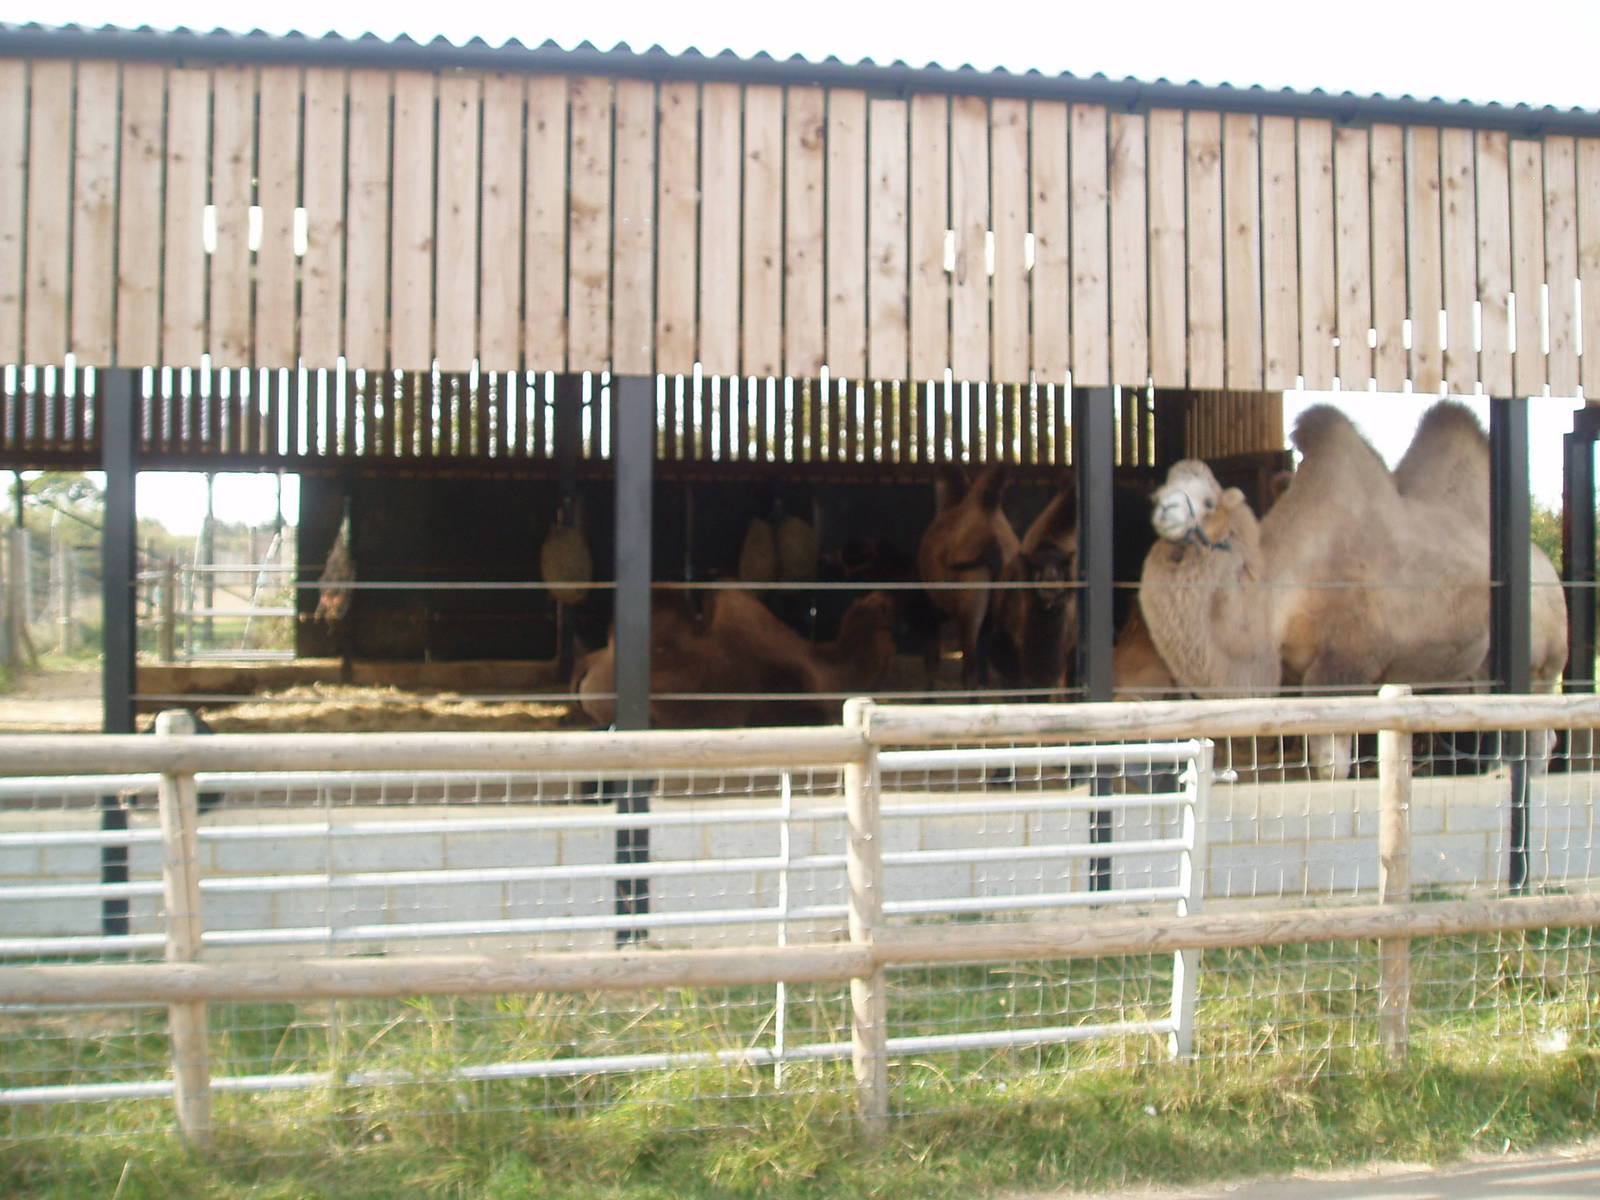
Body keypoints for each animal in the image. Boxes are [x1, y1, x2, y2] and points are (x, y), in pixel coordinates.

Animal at [1137, 401, 1566, 773]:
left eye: (1208, 501)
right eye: (1159, 493)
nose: (1165, 512)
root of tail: (1547, 566)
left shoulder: (1343, 665)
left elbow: (1331, 766)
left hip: (1543, 663)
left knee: (1540, 736)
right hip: (1476, 670)